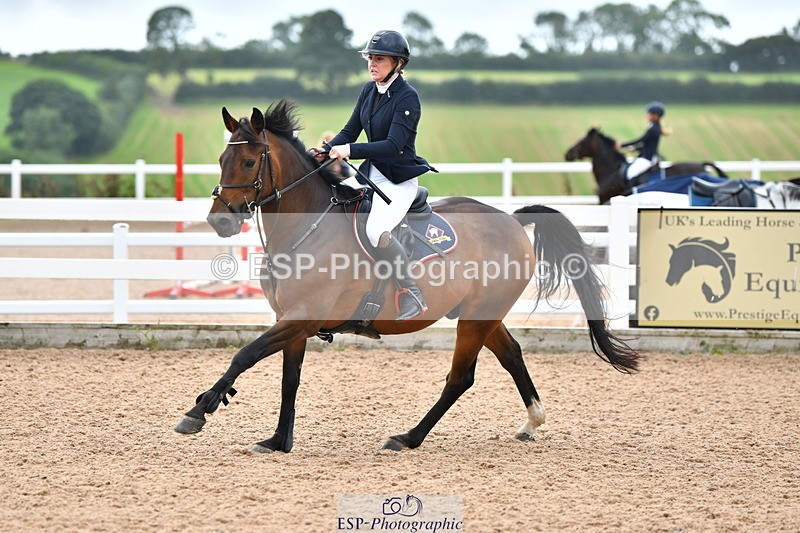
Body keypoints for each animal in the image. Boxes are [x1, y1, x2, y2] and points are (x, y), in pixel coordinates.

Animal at [173, 99, 640, 453]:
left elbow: (245, 355)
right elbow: (290, 381)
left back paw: (408, 437)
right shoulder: (293, 321)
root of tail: (511, 218)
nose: (220, 222)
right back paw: (531, 422)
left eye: (249, 160)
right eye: (222, 160)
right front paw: (277, 441)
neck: (307, 226)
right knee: (511, 355)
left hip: (476, 318)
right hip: (481, 313)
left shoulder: (302, 316)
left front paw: (200, 409)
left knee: (460, 378)